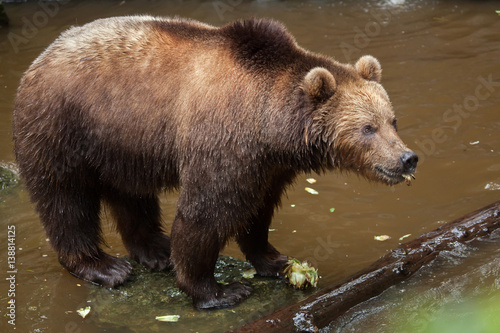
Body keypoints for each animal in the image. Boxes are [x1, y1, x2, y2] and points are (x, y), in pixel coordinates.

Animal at [12, 14, 418, 306]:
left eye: (392, 120)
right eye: (367, 128)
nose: (407, 158)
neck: (269, 124)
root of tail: (40, 57)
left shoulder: (268, 165)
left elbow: (258, 210)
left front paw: (274, 260)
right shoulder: (224, 141)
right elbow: (207, 211)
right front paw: (219, 290)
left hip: (121, 142)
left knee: (131, 194)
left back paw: (155, 250)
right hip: (62, 125)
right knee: (65, 199)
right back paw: (104, 267)